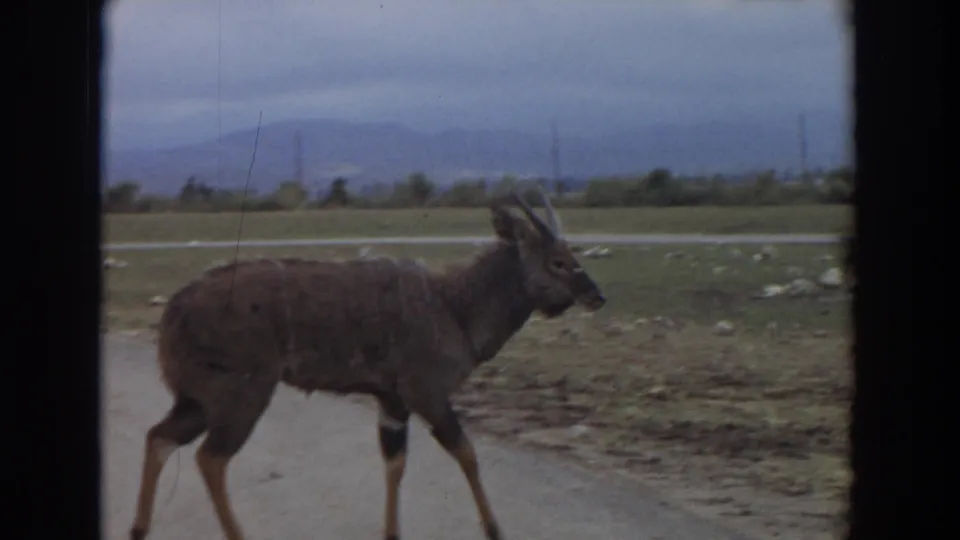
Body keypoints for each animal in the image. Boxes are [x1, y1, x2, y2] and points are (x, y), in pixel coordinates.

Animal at [129, 189, 607, 540]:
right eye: (558, 261)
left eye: (573, 255)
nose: (597, 296)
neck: (456, 306)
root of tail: (173, 311)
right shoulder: (426, 394)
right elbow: (466, 453)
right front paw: (494, 528)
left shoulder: (391, 401)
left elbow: (395, 463)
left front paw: (392, 532)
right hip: (241, 396)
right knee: (209, 458)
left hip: (197, 400)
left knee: (159, 437)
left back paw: (139, 529)